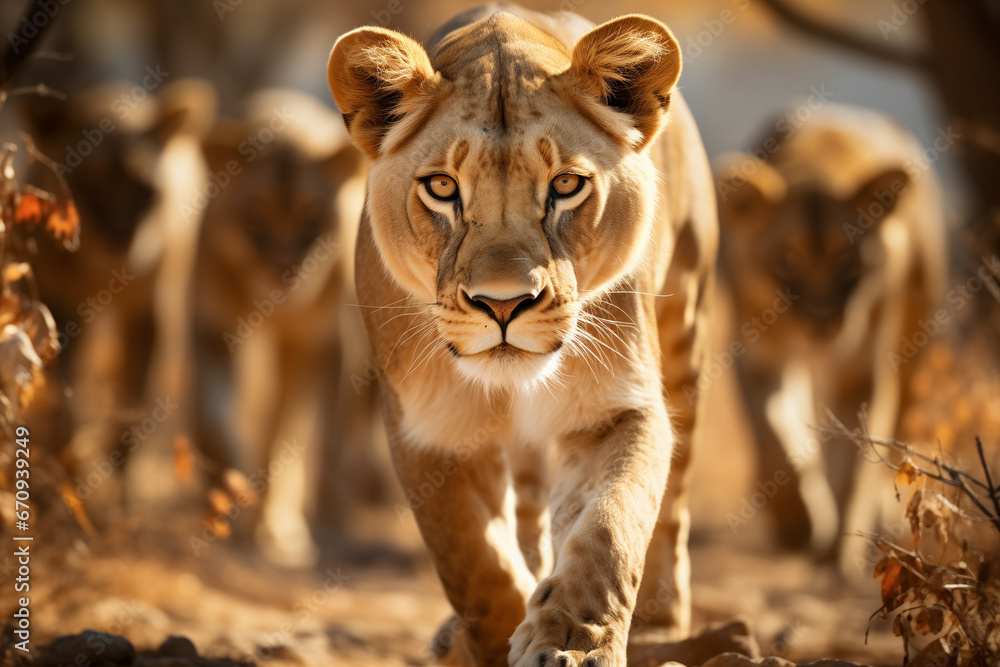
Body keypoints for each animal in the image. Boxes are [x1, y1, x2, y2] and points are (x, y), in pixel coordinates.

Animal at [327, 5, 717, 666]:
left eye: (565, 185)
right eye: (441, 187)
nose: (503, 303)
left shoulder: (614, 407)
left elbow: (612, 524)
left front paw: (573, 641)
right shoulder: (429, 429)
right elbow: (472, 560)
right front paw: (490, 634)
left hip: (685, 325)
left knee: (673, 505)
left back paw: (665, 625)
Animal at [714, 103, 947, 573]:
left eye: (849, 263)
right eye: (786, 262)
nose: (822, 324)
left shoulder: (861, 371)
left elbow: (853, 466)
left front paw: (838, 549)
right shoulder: (756, 355)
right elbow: (774, 441)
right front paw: (797, 525)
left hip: (915, 339)